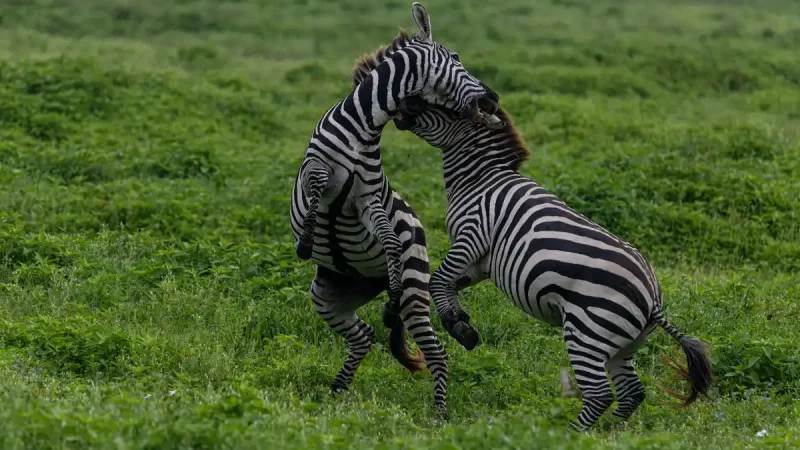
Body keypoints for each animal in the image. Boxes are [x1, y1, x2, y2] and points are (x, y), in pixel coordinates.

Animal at [289, 3, 500, 419]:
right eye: (456, 58)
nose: (492, 98)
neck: (365, 126)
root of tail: (367, 282)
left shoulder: (368, 200)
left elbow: (388, 240)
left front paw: (391, 287)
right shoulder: (313, 169)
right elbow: (318, 189)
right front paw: (306, 240)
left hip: (415, 293)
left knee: (435, 352)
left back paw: (439, 413)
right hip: (327, 295)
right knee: (364, 337)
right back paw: (337, 390)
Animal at [384, 97, 713, 430]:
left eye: (439, 103)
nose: (400, 104)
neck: (479, 180)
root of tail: (653, 299)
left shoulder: (473, 234)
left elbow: (438, 278)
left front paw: (455, 322)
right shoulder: (482, 263)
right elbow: (447, 283)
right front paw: (461, 323)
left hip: (587, 333)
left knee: (601, 394)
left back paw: (568, 434)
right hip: (622, 345)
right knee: (632, 392)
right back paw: (609, 431)